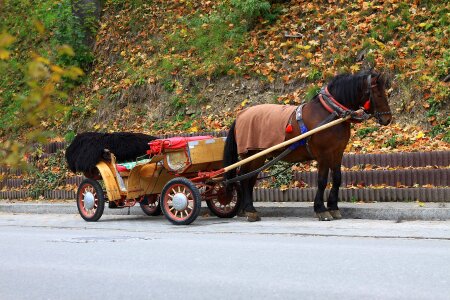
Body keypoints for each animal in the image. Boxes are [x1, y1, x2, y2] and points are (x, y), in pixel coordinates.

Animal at [223, 70, 392, 220]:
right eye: (378, 94)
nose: (388, 119)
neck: (330, 112)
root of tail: (240, 115)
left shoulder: (337, 152)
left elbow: (337, 178)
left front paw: (333, 207)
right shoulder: (323, 154)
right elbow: (322, 181)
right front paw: (321, 209)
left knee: (249, 178)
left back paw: (246, 209)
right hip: (252, 154)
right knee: (245, 178)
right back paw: (249, 209)